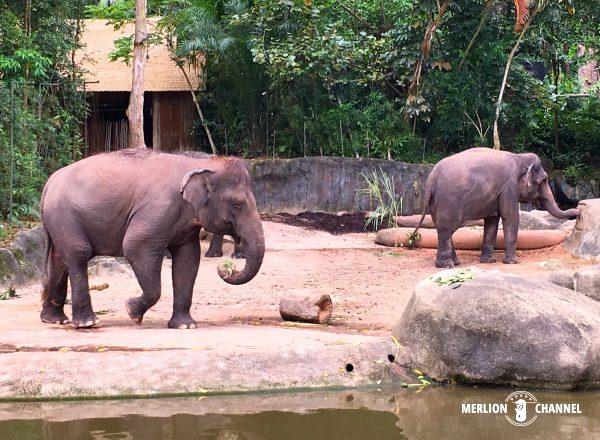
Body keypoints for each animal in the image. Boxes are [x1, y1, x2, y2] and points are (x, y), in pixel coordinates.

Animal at [40, 147, 264, 326]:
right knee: (78, 255)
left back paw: (54, 320)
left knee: (59, 259)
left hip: (59, 221)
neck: (199, 164)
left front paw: (185, 325)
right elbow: (135, 247)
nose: (226, 266)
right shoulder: (158, 210)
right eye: (237, 204)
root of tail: (49, 182)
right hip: (64, 216)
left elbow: (188, 259)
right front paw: (131, 311)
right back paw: (88, 323)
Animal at [414, 147, 580, 268]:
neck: (519, 157)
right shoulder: (509, 186)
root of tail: (431, 178)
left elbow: (493, 220)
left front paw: (489, 261)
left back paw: (455, 263)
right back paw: (446, 265)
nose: (578, 211)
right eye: (544, 181)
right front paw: (513, 262)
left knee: (441, 228)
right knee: (446, 229)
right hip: (449, 202)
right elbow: (510, 216)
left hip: (434, 203)